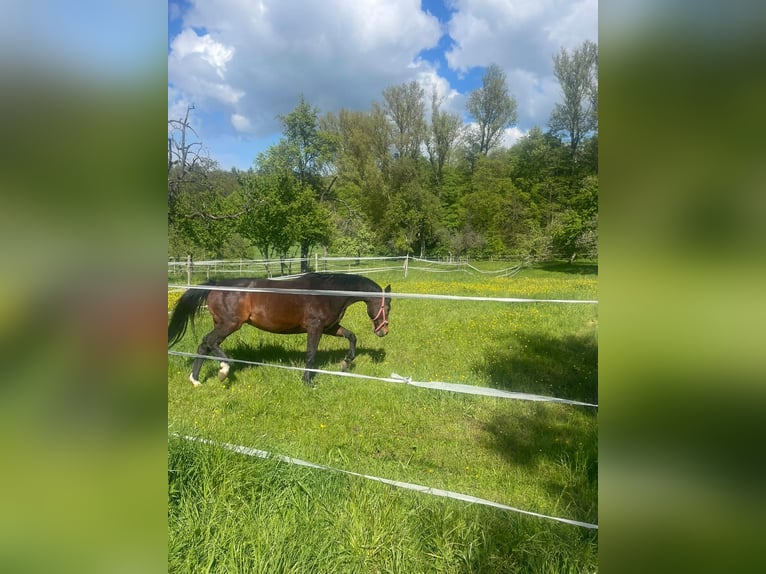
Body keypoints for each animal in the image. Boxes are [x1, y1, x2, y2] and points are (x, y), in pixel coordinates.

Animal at [170, 274, 392, 388]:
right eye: (388, 307)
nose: (383, 332)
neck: (329, 292)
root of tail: (216, 285)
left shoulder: (330, 327)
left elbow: (351, 336)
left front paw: (346, 362)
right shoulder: (316, 328)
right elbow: (311, 354)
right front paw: (307, 382)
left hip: (222, 324)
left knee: (204, 345)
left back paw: (196, 380)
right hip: (229, 324)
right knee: (209, 341)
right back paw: (223, 370)